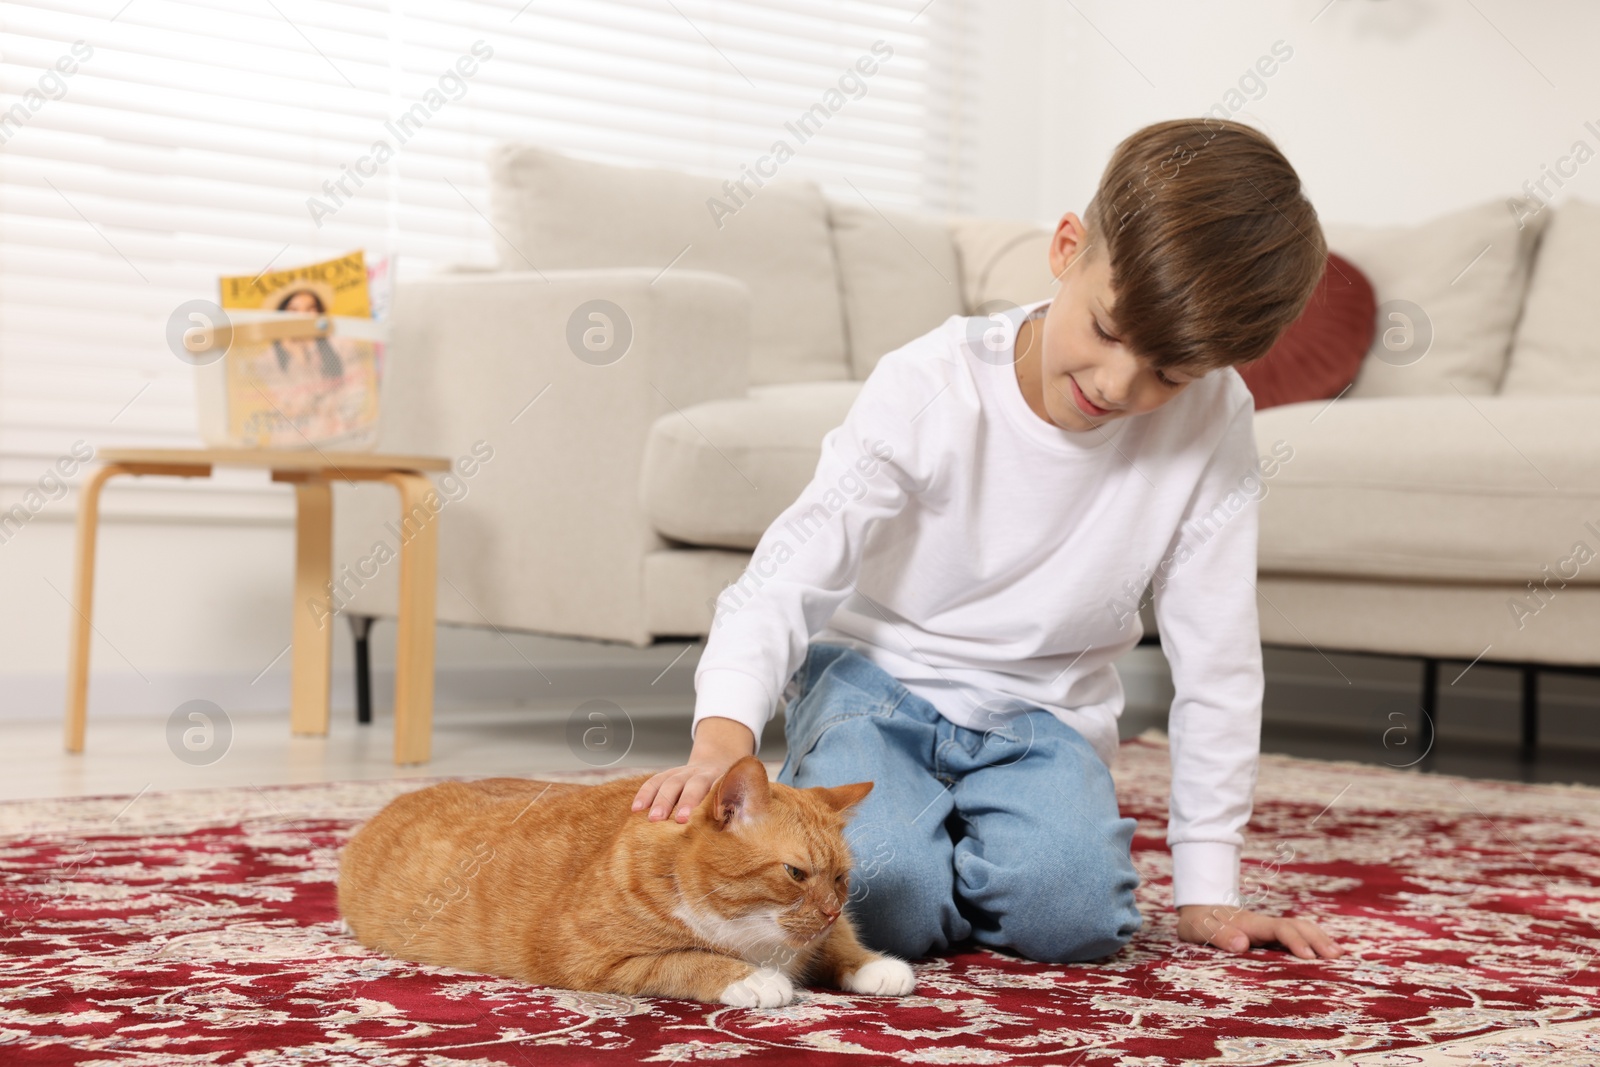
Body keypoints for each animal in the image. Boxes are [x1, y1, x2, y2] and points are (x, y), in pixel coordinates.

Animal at [337, 751, 915, 1011]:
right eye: (795, 873)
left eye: (841, 878)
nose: (830, 910)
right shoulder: (594, 960)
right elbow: (689, 959)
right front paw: (752, 978)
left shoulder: (823, 934)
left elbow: (841, 945)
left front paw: (874, 965)